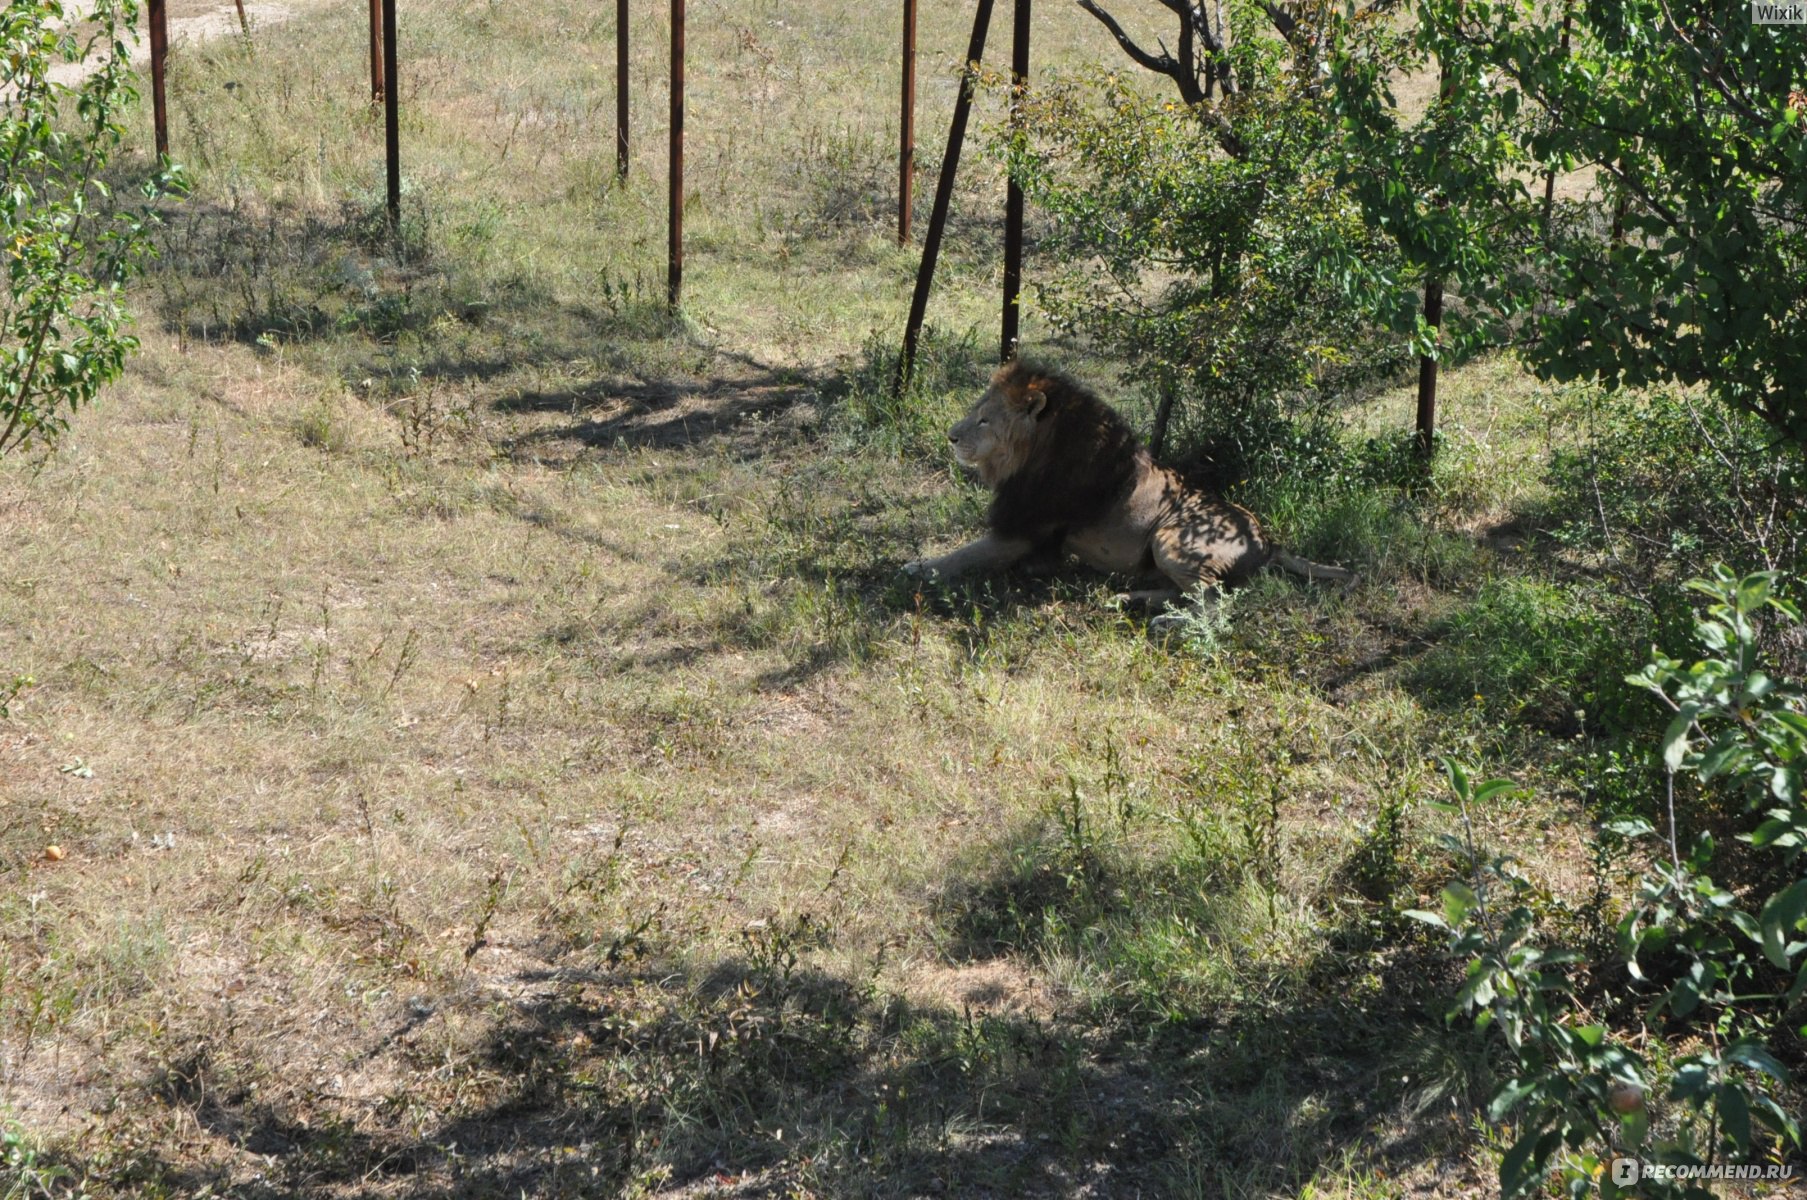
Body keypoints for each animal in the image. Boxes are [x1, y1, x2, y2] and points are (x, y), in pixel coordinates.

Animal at [903, 361, 1358, 614]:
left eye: (984, 420)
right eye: (974, 412)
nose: (950, 436)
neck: (1034, 454)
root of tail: (1267, 540)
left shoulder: (1021, 532)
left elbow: (962, 555)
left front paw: (916, 567)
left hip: (1170, 538)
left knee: (1214, 601)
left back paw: (1164, 621)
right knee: (1186, 593)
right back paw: (1129, 599)